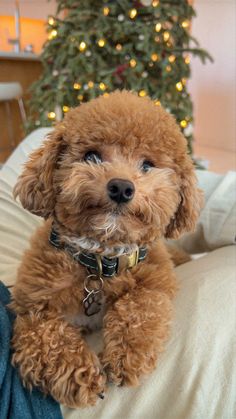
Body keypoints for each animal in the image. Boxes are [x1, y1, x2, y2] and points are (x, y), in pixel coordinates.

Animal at [11, 92, 202, 410]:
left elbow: (143, 306)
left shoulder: (154, 283)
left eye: (147, 165)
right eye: (92, 156)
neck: (101, 260)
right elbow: (49, 337)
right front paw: (80, 374)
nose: (121, 187)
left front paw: (126, 357)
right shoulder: (31, 314)